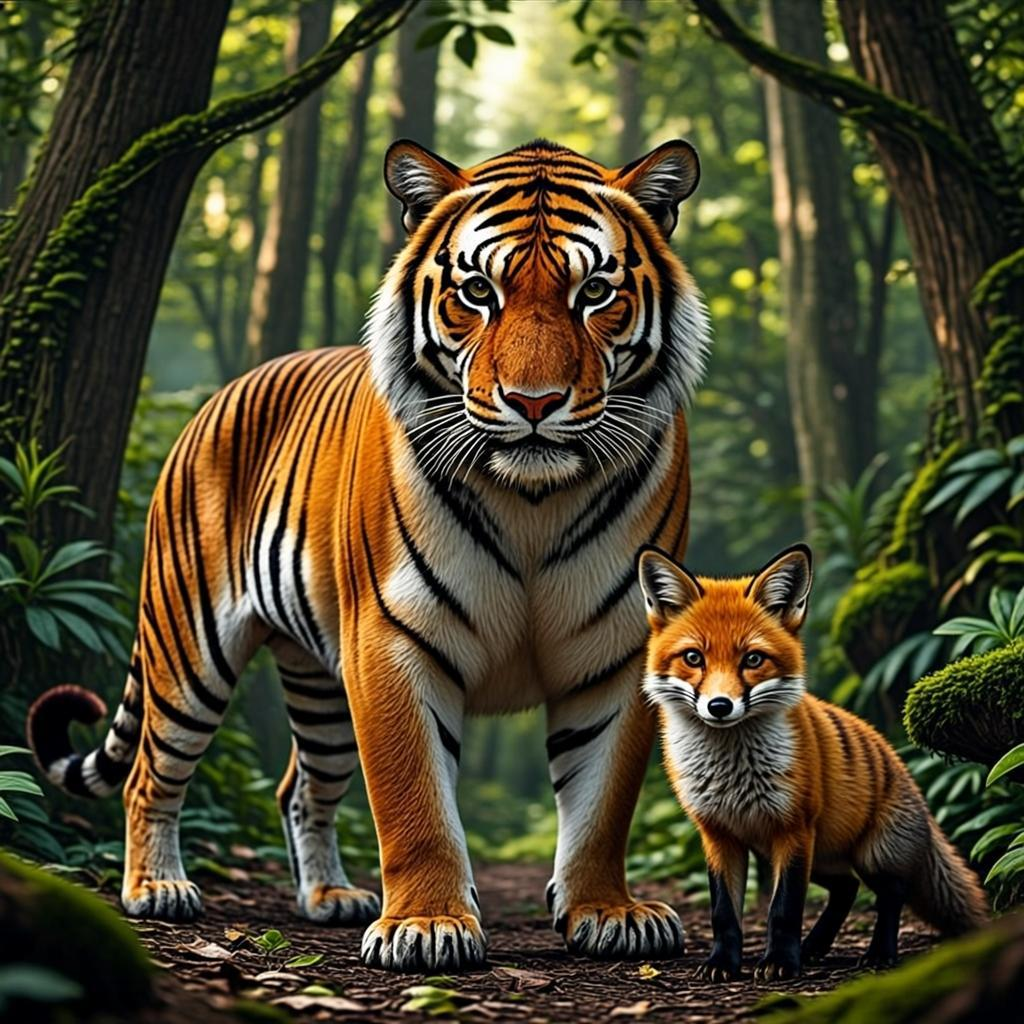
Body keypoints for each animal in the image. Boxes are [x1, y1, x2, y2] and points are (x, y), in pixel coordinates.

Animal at [28, 137, 710, 972]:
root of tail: (221, 394)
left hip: (316, 682)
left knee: (301, 787)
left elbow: (602, 801)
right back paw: (156, 888)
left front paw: (606, 913)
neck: (533, 502)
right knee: (151, 771)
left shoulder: (618, 648)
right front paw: (428, 926)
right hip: (188, 648)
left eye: (595, 292)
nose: (535, 402)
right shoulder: (390, 638)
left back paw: (328, 897)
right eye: (478, 291)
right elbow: (413, 797)